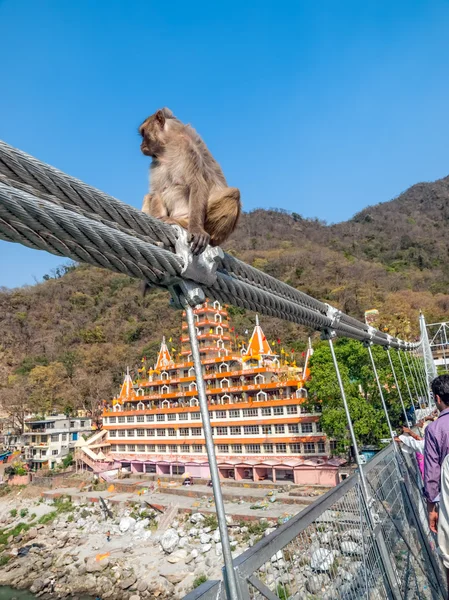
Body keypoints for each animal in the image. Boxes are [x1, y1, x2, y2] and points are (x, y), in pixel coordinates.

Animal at [139, 108, 242, 253]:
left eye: (143, 133)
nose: (141, 145)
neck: (168, 146)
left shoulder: (187, 149)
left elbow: (197, 184)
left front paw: (196, 229)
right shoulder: (157, 162)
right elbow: (158, 190)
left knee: (234, 193)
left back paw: (185, 224)